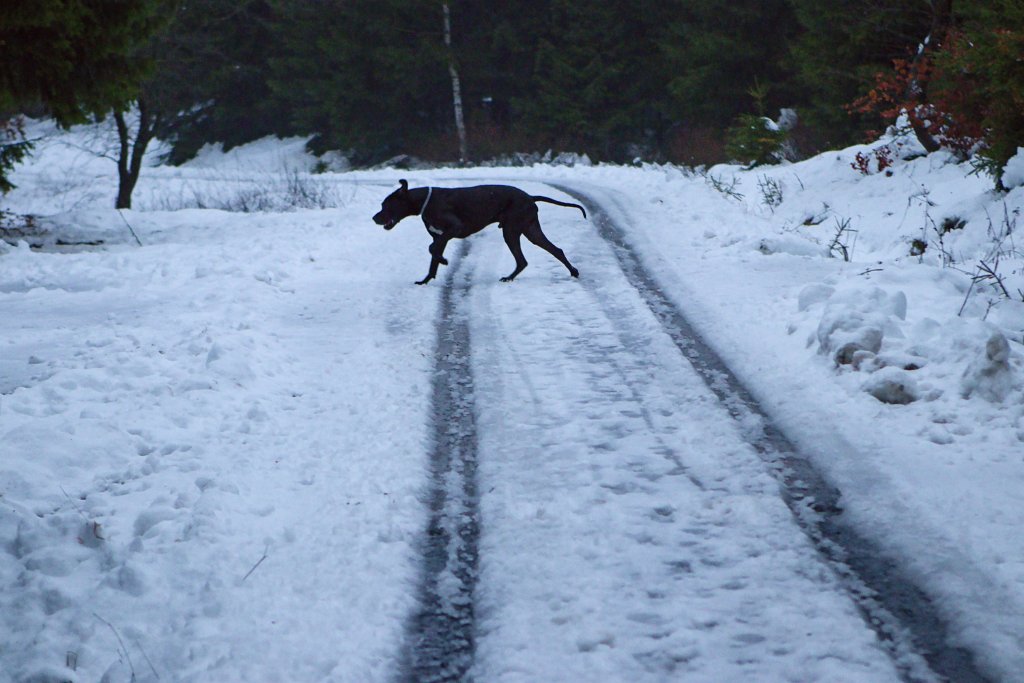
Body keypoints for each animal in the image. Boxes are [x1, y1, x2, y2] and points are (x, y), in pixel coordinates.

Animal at [374, 180, 585, 284]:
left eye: (386, 205)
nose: (374, 217)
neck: (425, 201)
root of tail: (530, 197)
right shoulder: (441, 236)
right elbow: (433, 256)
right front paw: (426, 280)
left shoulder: (452, 229)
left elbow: (432, 248)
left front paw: (444, 261)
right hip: (530, 230)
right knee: (554, 251)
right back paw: (573, 272)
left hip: (511, 231)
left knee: (524, 259)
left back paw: (509, 277)